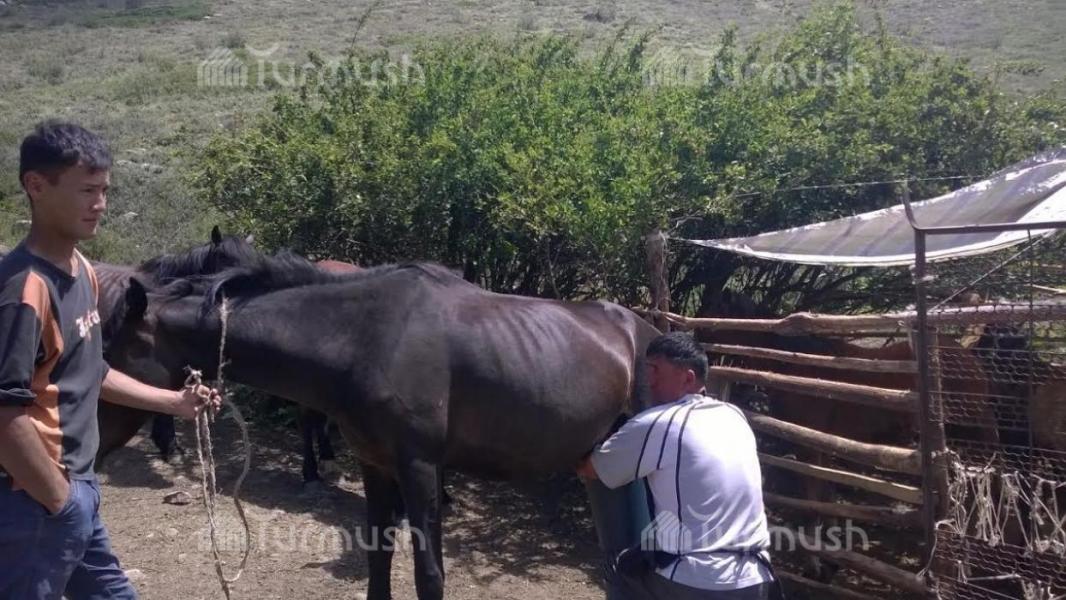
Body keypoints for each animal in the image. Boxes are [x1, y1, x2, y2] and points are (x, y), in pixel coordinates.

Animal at [104, 251, 660, 600]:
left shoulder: (418, 468)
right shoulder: (376, 465)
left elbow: (429, 573)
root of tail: (645, 329)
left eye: (115, 351)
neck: (362, 337)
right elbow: (378, 557)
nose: (92, 439)